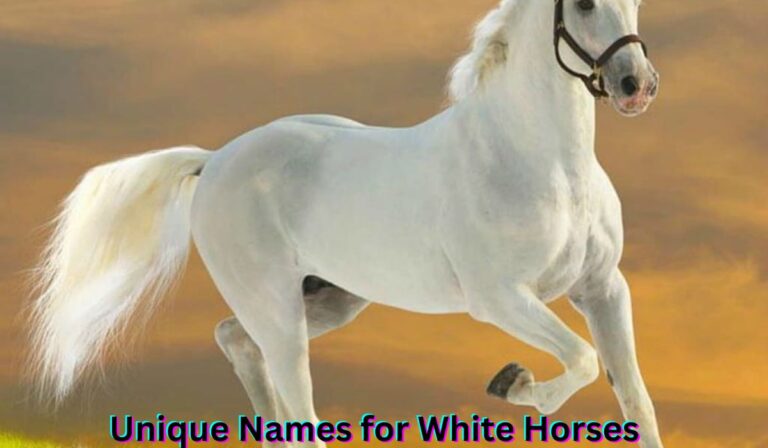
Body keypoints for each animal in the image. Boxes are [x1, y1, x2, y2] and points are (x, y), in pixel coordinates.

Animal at [27, 0, 662, 446]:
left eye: (637, 0)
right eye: (583, 3)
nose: (637, 86)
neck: (539, 160)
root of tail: (215, 160)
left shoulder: (603, 288)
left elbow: (634, 398)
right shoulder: (500, 298)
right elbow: (581, 360)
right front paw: (512, 381)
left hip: (329, 298)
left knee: (236, 341)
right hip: (277, 309)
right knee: (295, 402)